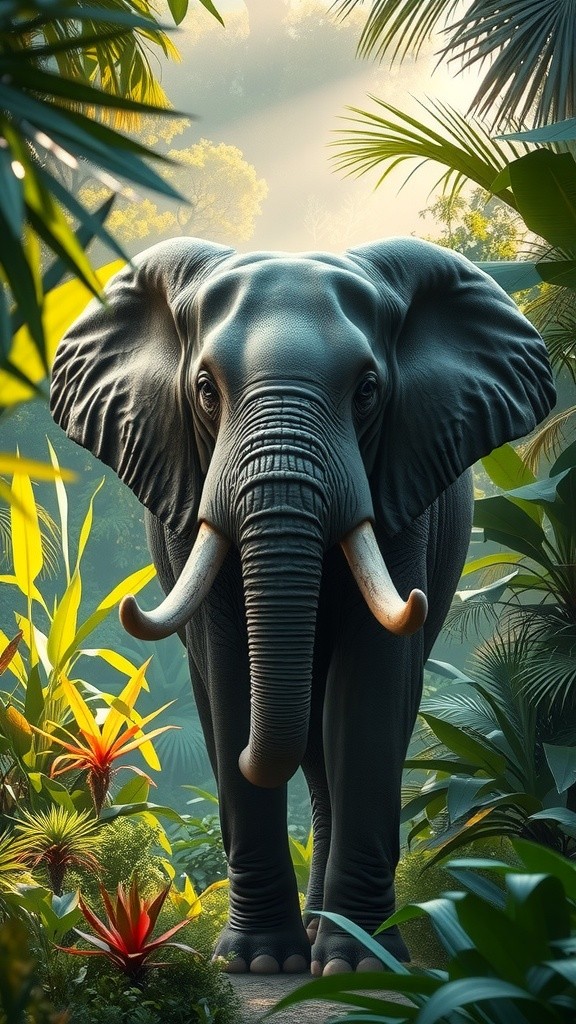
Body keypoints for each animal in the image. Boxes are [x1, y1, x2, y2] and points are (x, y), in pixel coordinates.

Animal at [50, 236, 555, 976]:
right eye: (206, 391)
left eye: (368, 390)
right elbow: (228, 673)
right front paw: (258, 964)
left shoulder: (404, 496)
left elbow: (368, 693)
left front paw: (359, 965)